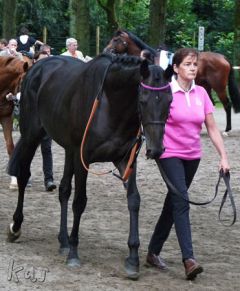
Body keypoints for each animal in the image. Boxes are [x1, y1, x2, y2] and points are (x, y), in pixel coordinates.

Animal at [7, 53, 172, 280]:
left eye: (170, 101)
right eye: (143, 100)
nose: (156, 150)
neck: (111, 104)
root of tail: (36, 66)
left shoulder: (126, 160)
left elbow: (134, 200)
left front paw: (133, 259)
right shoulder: (82, 158)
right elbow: (80, 202)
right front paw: (74, 254)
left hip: (68, 149)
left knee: (63, 190)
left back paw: (63, 241)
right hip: (31, 136)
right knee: (24, 176)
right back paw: (16, 226)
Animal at [104, 29, 240, 132]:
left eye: (115, 39)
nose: (106, 50)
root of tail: (223, 57)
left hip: (219, 87)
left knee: (227, 104)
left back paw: (227, 130)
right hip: (207, 86)